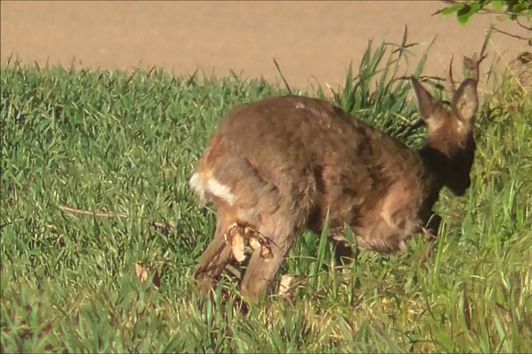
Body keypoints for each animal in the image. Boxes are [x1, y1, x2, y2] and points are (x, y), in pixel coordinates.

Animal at [190, 55, 482, 302]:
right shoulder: (397, 220)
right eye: (472, 148)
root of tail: (209, 165)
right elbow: (432, 228)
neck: (433, 167)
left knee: (203, 272)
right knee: (252, 285)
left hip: (233, 218)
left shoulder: (345, 232)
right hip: (283, 208)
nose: (465, 185)